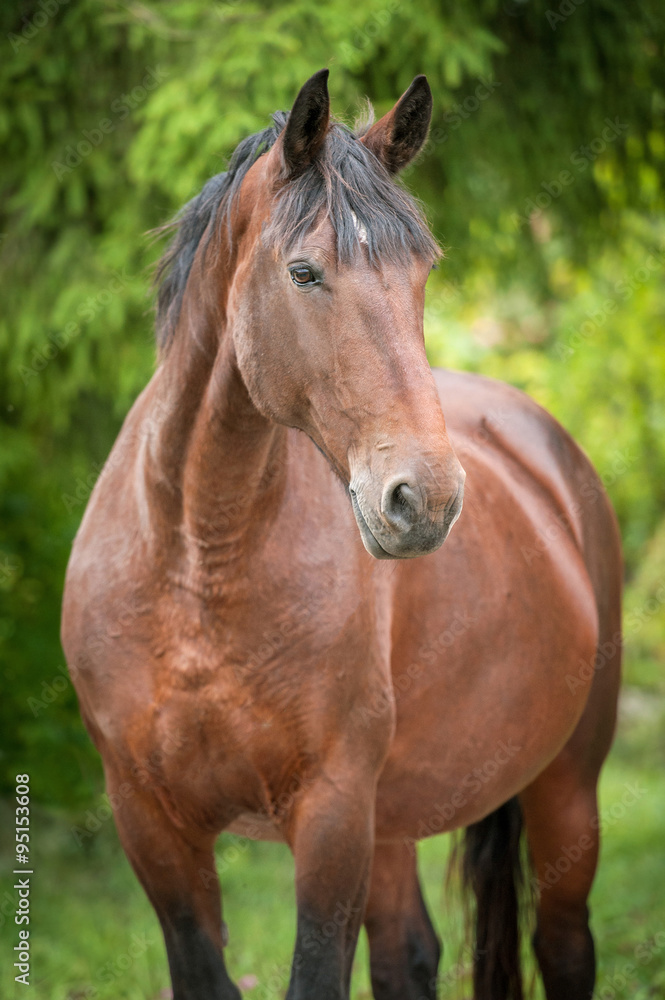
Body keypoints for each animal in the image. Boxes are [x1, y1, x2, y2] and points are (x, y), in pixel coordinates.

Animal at [62, 72, 624, 1000]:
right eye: (304, 272)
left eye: (421, 272)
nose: (424, 499)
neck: (197, 563)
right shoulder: (153, 826)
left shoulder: (329, 817)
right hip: (390, 818)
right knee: (408, 956)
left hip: (564, 788)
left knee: (564, 948)